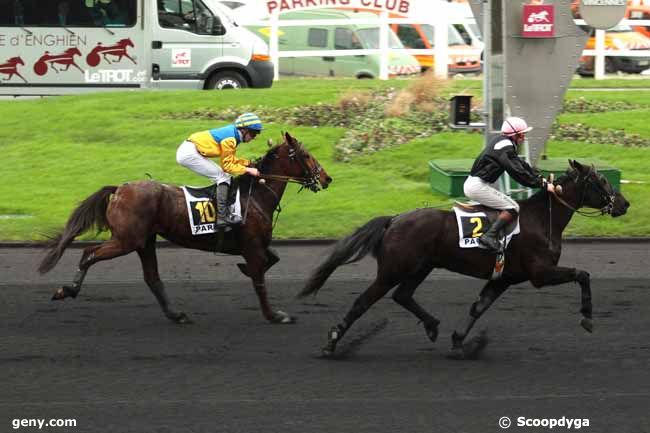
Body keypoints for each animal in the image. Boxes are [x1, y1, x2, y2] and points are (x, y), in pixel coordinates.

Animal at [38, 132, 332, 324]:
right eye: (306, 155)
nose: (327, 178)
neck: (255, 196)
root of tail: (120, 188)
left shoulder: (257, 245)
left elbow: (274, 259)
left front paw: (244, 270)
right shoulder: (251, 246)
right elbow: (260, 280)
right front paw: (275, 315)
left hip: (144, 241)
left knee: (152, 278)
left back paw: (176, 314)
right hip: (127, 240)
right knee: (89, 254)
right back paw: (67, 290)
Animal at [298, 160, 628, 356]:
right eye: (601, 180)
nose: (624, 204)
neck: (541, 219)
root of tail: (394, 220)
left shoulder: (504, 278)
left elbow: (478, 307)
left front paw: (459, 340)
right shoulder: (541, 273)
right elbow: (583, 274)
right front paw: (587, 317)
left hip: (421, 267)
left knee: (403, 296)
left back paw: (432, 325)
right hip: (392, 271)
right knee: (363, 302)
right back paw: (332, 342)